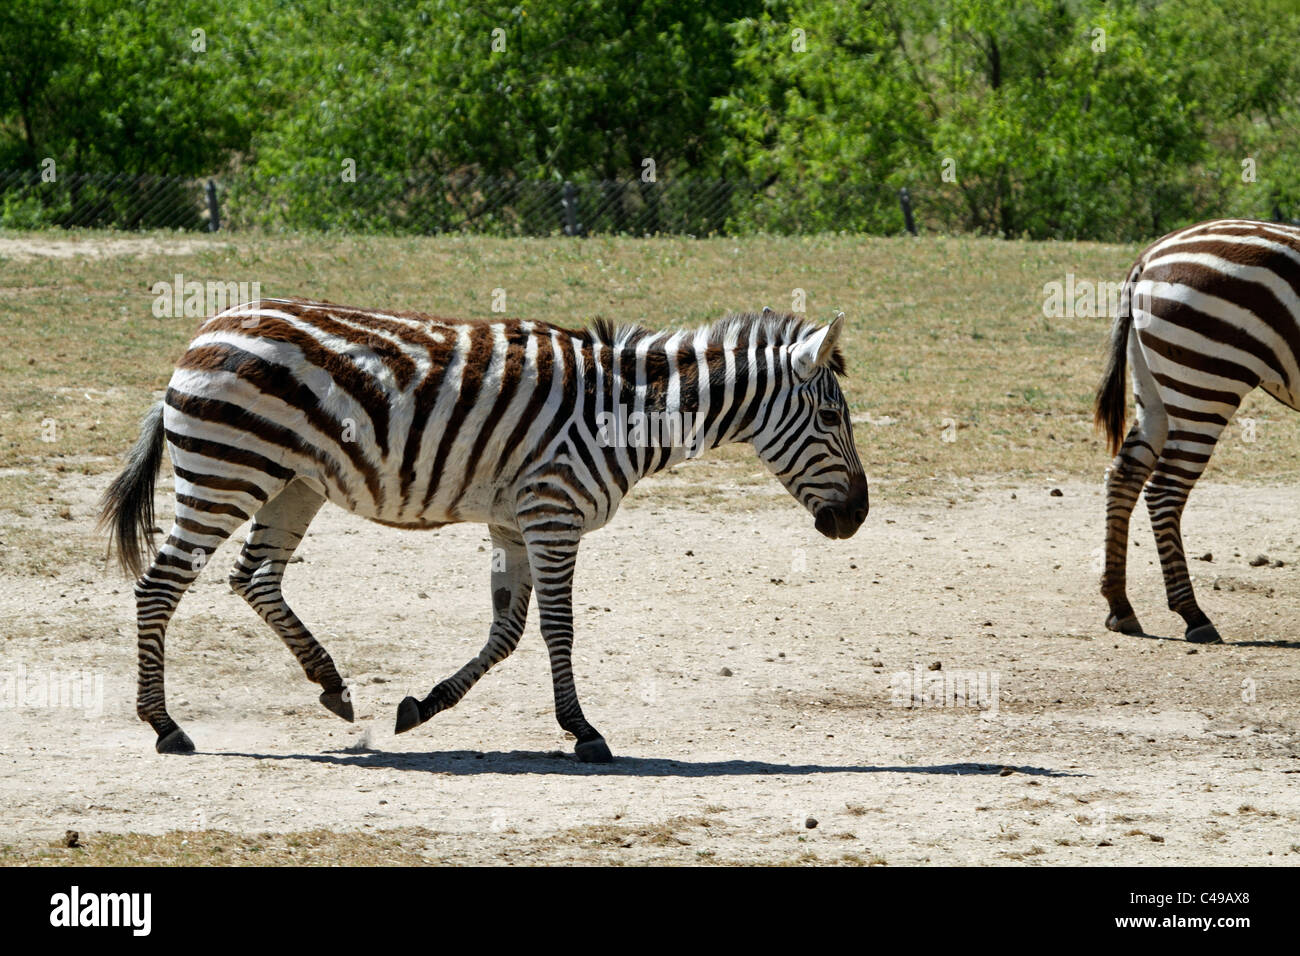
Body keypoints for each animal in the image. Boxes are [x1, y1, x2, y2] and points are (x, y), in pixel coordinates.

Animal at [99, 298, 869, 761]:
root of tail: (203, 333)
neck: (626, 412)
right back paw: (165, 726)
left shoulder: (514, 521)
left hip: (292, 484)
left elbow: (507, 632)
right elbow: (557, 629)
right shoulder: (554, 512)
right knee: (161, 585)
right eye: (833, 418)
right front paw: (585, 732)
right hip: (228, 472)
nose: (857, 518)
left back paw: (333, 686)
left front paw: (422, 706)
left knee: (255, 577)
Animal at [1095, 218, 1300, 644]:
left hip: (1154, 390)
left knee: (1124, 475)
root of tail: (1151, 254)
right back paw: (1193, 614)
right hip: (1206, 384)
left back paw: (1120, 606)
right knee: (1164, 490)